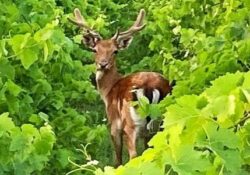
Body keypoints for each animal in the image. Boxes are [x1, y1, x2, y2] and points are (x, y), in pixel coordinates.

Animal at [69, 8, 173, 167]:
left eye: (115, 51)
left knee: (133, 155)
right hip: (163, 121)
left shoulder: (114, 124)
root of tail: (149, 88)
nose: (103, 64)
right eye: (95, 50)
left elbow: (118, 159)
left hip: (130, 124)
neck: (108, 90)